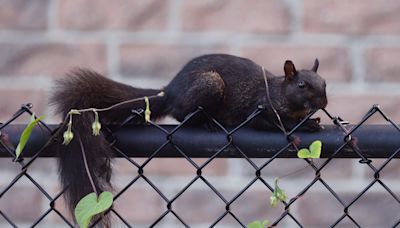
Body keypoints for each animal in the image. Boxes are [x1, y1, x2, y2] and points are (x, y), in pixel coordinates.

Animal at [48, 54, 326, 226]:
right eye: (302, 85)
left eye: (324, 83)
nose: (323, 102)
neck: (279, 91)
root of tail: (169, 92)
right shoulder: (258, 109)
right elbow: (270, 124)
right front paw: (306, 124)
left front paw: (311, 119)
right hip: (208, 86)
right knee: (182, 115)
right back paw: (207, 122)